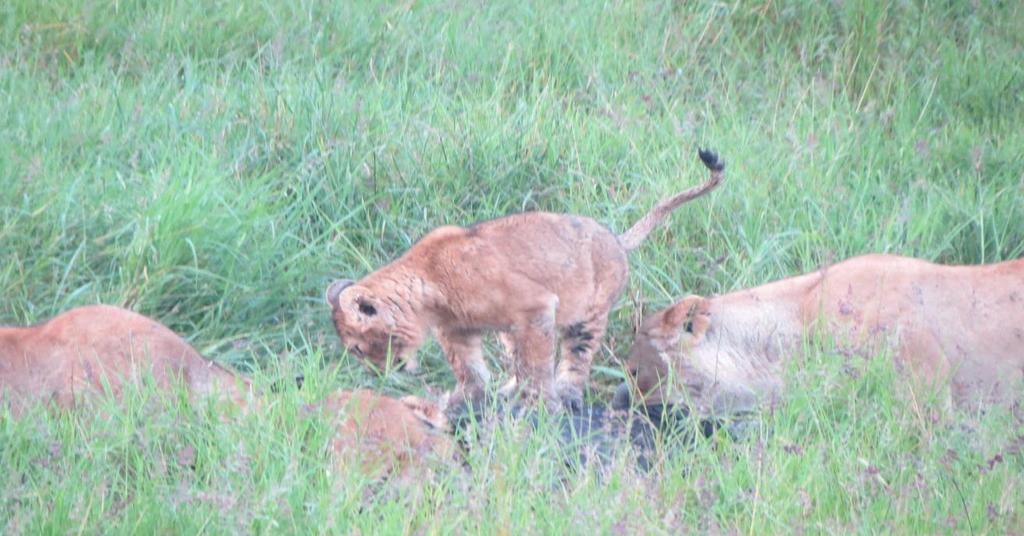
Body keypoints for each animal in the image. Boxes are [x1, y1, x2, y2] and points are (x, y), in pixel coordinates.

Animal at [323, 148, 724, 409]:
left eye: (357, 348)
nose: (377, 373)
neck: (429, 287)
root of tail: (615, 238)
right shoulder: (458, 331)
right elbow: (470, 368)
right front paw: (465, 398)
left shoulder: (537, 307)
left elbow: (537, 363)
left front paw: (541, 402)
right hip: (509, 329)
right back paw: (508, 390)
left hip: (586, 316)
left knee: (576, 357)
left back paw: (567, 394)